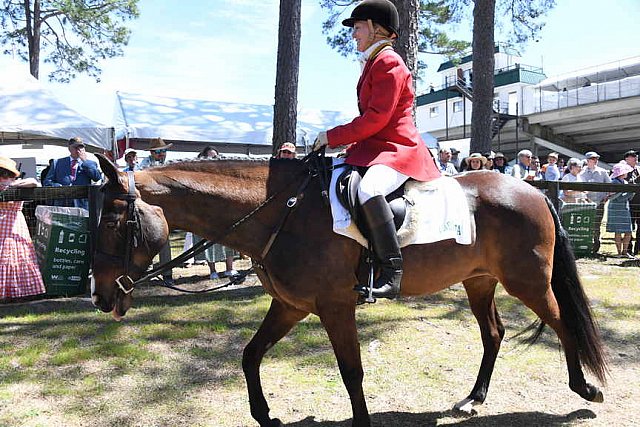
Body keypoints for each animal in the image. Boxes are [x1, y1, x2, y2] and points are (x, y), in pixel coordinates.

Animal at [92, 155, 608, 427]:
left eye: (114, 224)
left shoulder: (335, 307)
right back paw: (472, 398)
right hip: (479, 281)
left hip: (528, 281)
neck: (284, 210)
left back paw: (583, 389)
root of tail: (533, 189)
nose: (101, 297)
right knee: (494, 334)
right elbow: (250, 354)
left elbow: (351, 372)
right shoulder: (290, 306)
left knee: (563, 324)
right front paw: (265, 415)